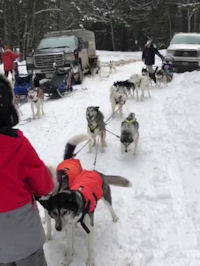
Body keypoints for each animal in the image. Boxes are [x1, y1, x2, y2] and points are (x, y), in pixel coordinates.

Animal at [38, 134, 131, 266]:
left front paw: (90, 261)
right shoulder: (67, 225)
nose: (58, 228)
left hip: (105, 197)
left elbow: (90, 248)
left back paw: (114, 217)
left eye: (64, 211)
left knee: (110, 207)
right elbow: (68, 245)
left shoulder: (89, 228)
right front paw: (67, 258)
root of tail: (96, 172)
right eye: (54, 213)